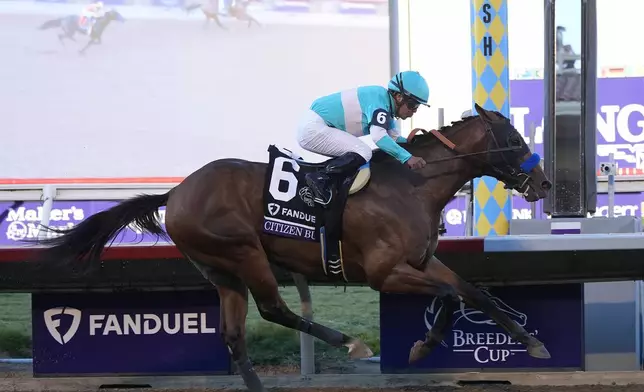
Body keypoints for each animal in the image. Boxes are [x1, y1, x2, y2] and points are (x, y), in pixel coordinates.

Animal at [32, 104, 552, 392]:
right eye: (512, 138)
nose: (544, 183)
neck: (412, 185)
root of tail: (176, 192)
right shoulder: (384, 272)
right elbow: (447, 297)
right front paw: (422, 347)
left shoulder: (423, 261)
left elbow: (473, 292)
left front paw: (532, 342)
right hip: (244, 252)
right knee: (274, 310)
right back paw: (351, 343)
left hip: (221, 271)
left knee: (235, 334)